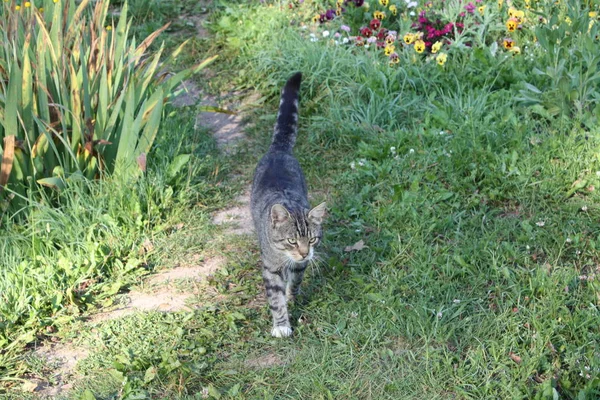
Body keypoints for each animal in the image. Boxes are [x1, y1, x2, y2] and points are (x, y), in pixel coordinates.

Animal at [250, 72, 326, 338]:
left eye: (311, 239)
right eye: (292, 240)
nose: (303, 252)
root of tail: (278, 149)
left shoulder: (301, 264)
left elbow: (296, 280)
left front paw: (293, 297)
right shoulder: (270, 268)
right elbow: (275, 298)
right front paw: (282, 325)